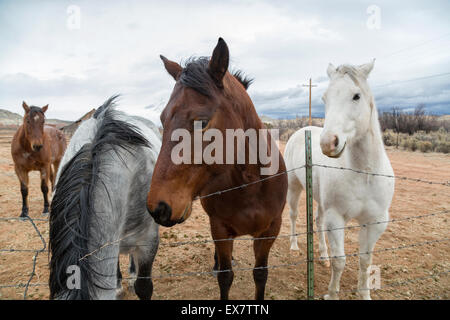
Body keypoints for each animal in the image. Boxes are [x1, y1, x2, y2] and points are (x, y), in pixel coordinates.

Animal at [148, 38, 288, 300]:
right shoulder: (220, 228)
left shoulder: (270, 230)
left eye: (202, 122)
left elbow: (260, 274)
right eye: (163, 120)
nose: (158, 208)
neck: (252, 184)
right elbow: (225, 277)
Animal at [284, 60, 394, 300]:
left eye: (356, 96)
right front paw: (332, 293)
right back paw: (294, 246)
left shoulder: (375, 222)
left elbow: (365, 261)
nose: (328, 143)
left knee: (318, 222)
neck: (364, 174)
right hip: (294, 186)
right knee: (294, 215)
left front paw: (364, 294)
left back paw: (322, 256)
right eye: (325, 98)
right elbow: (340, 261)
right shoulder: (336, 218)